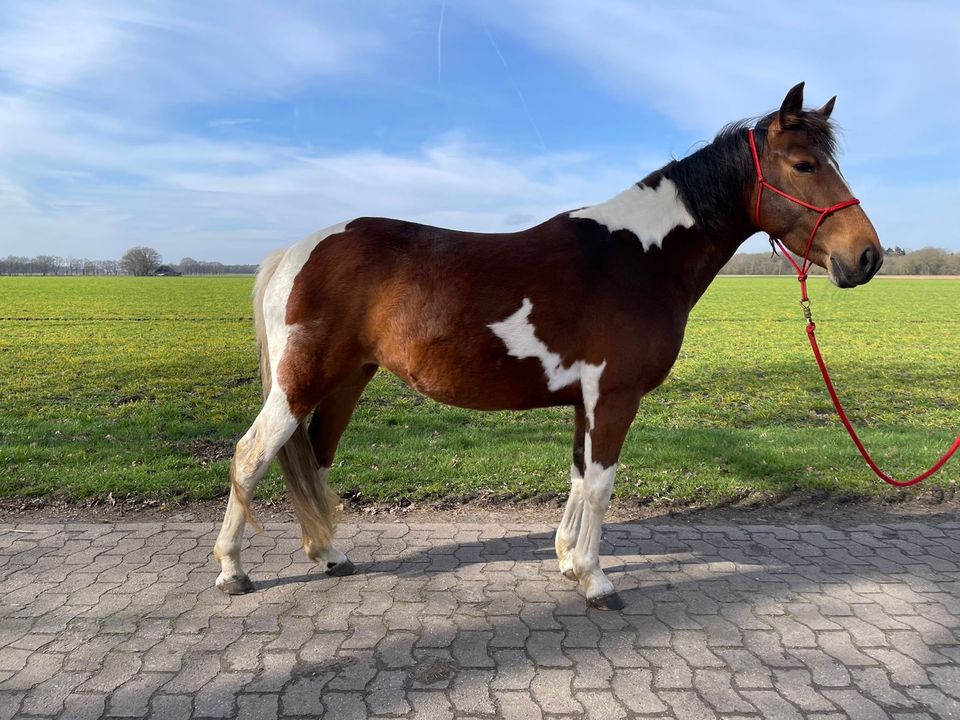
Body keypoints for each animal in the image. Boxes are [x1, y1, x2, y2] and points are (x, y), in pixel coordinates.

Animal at [214, 83, 880, 608]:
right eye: (803, 165)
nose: (867, 256)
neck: (639, 257)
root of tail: (294, 251)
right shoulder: (614, 397)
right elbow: (602, 485)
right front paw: (595, 580)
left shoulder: (586, 400)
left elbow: (580, 477)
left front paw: (566, 560)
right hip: (301, 383)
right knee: (250, 456)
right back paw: (233, 571)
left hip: (347, 380)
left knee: (315, 457)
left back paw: (329, 555)